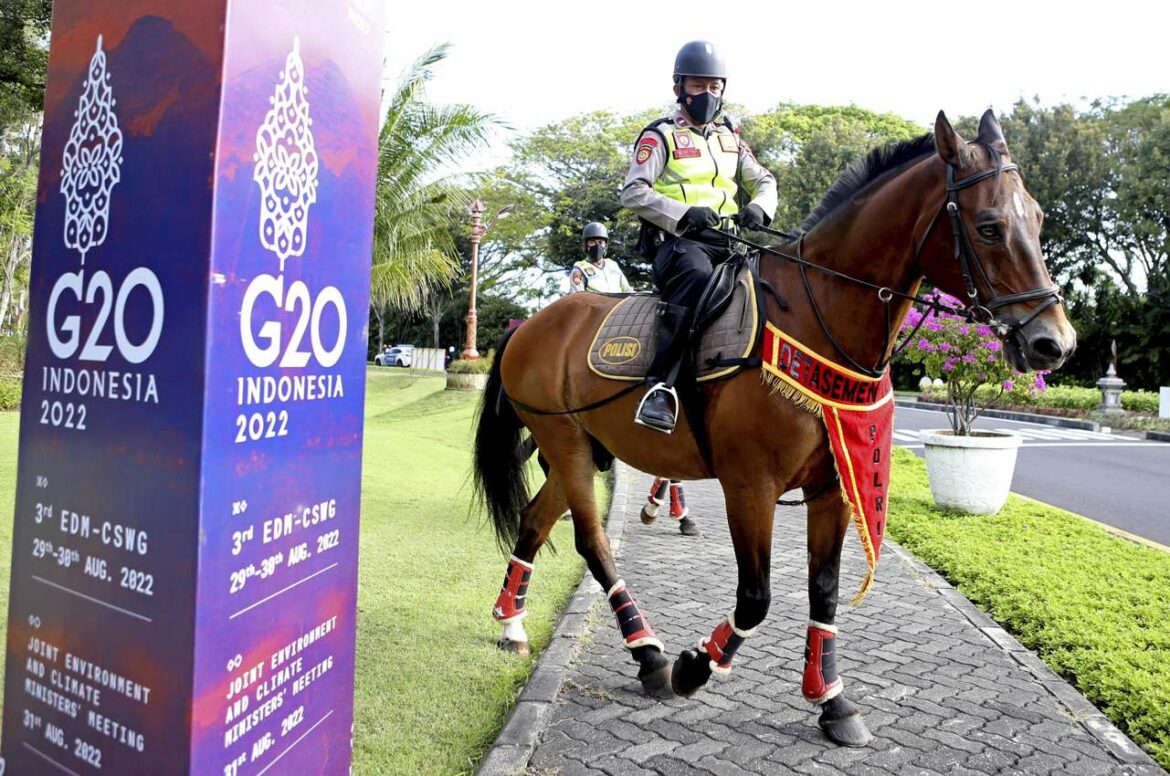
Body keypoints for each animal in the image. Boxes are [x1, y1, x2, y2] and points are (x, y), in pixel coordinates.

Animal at [470, 109, 1071, 749]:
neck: (812, 318)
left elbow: (824, 593)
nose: (1054, 343)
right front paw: (694, 667)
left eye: (1037, 219)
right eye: (989, 227)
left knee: (535, 520)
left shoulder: (833, 489)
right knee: (592, 540)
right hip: (567, 445)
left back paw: (513, 624)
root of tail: (533, 322)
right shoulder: (750, 486)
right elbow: (756, 598)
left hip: (581, 447)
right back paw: (649, 654)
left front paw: (832, 700)